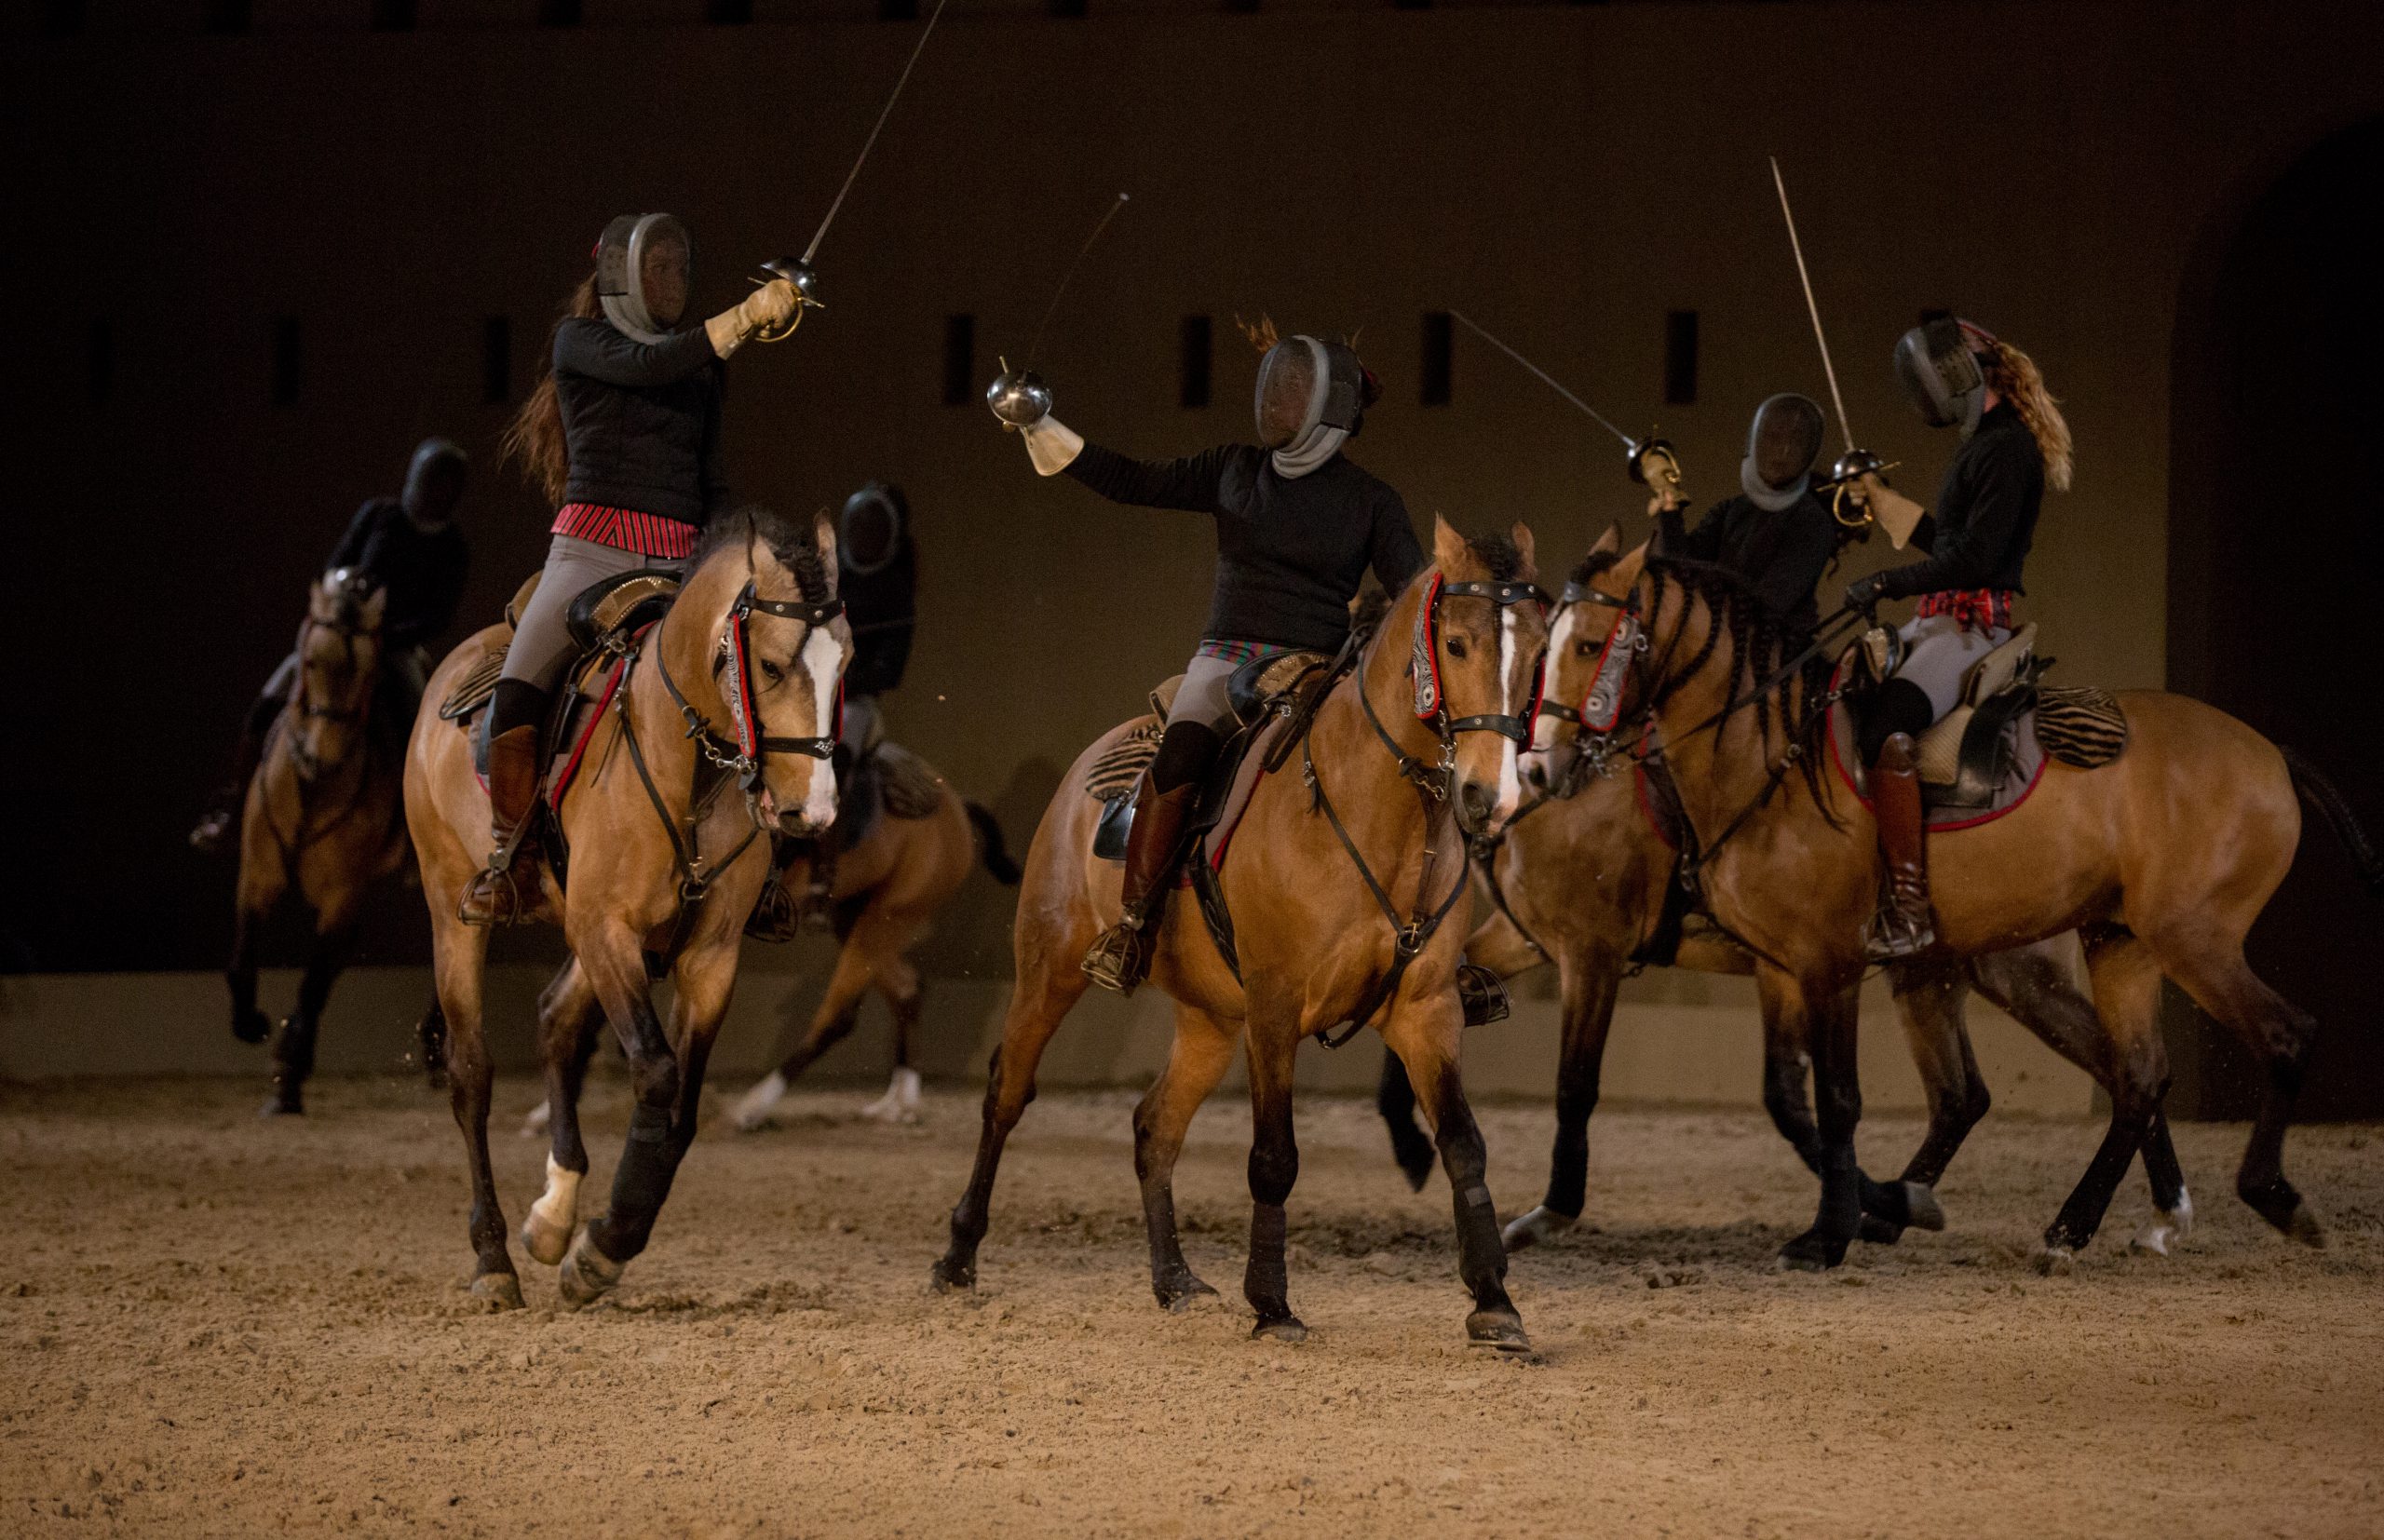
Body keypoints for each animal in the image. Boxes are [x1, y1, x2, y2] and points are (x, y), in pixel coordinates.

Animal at [226, 572, 410, 1115]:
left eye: (369, 674)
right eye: (310, 662)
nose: (319, 758)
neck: (312, 789)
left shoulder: (339, 896)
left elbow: (310, 985)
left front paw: (286, 1079)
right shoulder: (258, 876)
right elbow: (243, 956)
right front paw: (250, 1024)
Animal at [405, 512, 853, 1306]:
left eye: (846, 665)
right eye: (770, 667)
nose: (815, 810)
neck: (689, 768)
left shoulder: (708, 957)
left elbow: (682, 1108)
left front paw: (598, 1240)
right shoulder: (607, 930)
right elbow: (656, 1073)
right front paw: (604, 1245)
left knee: (556, 1019)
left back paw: (553, 1215)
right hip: (453, 907)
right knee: (470, 1072)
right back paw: (493, 1257)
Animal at [929, 520, 1544, 1354]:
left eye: (1539, 646)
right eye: (1454, 643)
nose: (1490, 794)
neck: (1366, 806)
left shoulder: (1427, 1012)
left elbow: (1463, 1145)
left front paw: (1494, 1303)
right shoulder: (1276, 1009)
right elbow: (1274, 1157)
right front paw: (1273, 1306)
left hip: (1210, 1019)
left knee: (1155, 1126)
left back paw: (1174, 1280)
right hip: (1047, 973)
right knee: (1006, 1095)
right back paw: (958, 1258)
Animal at [1554, 531, 2374, 1277]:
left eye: (1590, 642)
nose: (1549, 758)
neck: (1771, 760)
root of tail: (2269, 754)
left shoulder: (1828, 964)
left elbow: (1838, 1100)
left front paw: (1828, 1236)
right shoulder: (1782, 966)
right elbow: (1790, 1102)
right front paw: (1875, 1210)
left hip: (2190, 940)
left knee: (2283, 1036)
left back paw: (2272, 1198)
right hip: (2117, 943)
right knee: (2133, 1076)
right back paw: (2071, 1230)